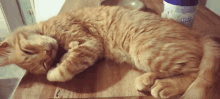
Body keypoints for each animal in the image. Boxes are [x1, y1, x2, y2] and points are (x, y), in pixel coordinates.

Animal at [0, 6, 220, 98]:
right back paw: (147, 80)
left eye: (27, 50)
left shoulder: (90, 44)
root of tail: (196, 34)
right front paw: (62, 57)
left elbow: (62, 72)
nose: (49, 51)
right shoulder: (90, 51)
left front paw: (56, 69)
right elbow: (70, 58)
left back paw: (166, 86)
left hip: (144, 51)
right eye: (42, 63)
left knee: (195, 71)